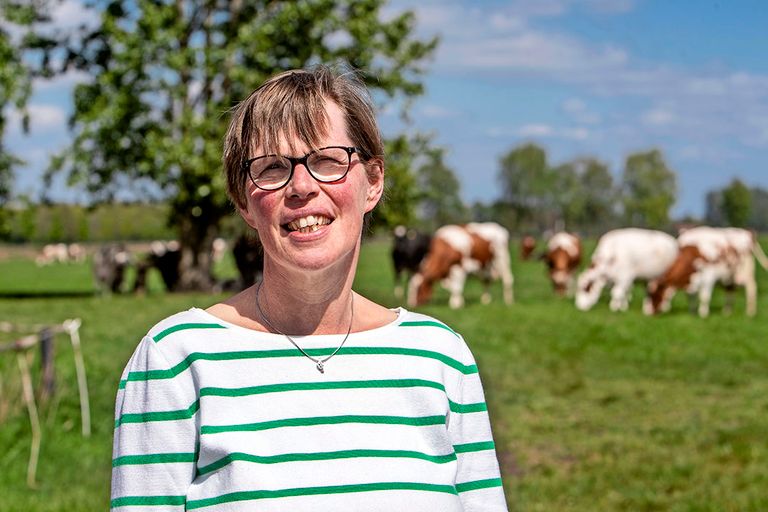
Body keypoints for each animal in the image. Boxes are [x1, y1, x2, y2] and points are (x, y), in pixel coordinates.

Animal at [640, 225, 768, 316]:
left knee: (751, 289)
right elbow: (690, 296)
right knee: (730, 290)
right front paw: (692, 312)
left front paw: (703, 314)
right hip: (729, 276)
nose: (647, 312)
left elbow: (704, 297)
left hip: (744, 273)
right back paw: (727, 312)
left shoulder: (709, 276)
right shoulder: (692, 279)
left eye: (654, 293)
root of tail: (747, 233)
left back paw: (750, 312)